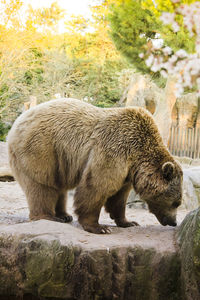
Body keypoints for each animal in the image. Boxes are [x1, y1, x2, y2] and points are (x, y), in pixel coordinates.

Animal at [7, 97, 183, 233]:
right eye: (176, 203)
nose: (174, 222)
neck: (137, 156)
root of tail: (16, 124)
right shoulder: (113, 150)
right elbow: (97, 186)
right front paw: (100, 227)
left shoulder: (127, 170)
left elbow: (119, 197)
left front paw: (128, 222)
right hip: (40, 149)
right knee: (42, 185)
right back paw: (47, 216)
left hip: (58, 161)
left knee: (59, 187)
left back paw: (64, 215)